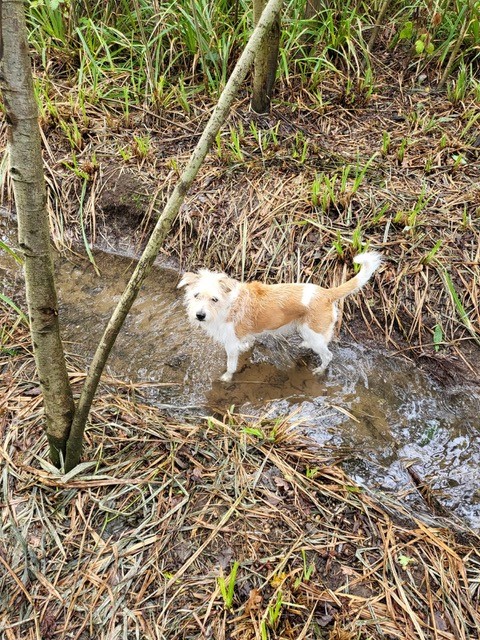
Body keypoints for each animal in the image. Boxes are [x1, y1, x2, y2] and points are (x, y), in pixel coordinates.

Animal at [177, 250, 382, 380]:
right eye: (196, 295)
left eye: (214, 299)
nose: (200, 315)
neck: (227, 304)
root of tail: (326, 293)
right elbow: (248, 343)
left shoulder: (230, 343)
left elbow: (231, 365)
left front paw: (226, 378)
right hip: (307, 330)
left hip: (313, 332)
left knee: (328, 355)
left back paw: (319, 370)